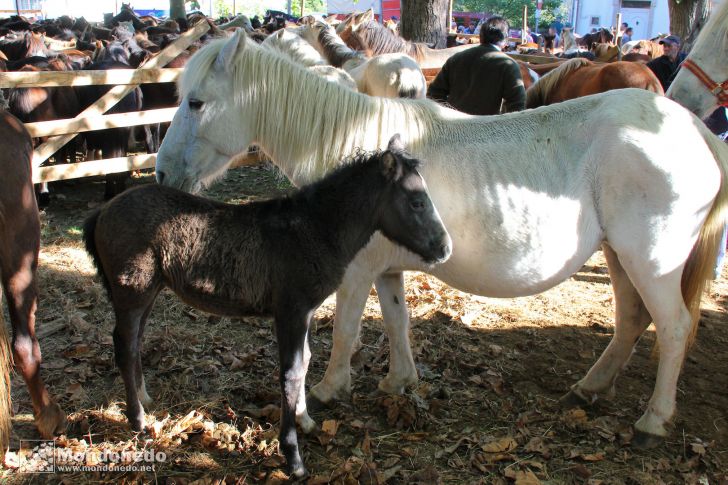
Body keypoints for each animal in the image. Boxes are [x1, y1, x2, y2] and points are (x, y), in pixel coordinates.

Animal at [84, 136, 450, 476]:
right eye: (417, 202)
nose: (445, 248)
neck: (314, 229)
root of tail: (103, 211)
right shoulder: (291, 310)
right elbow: (290, 373)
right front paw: (293, 456)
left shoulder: (306, 312)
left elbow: (305, 362)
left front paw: (305, 421)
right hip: (132, 292)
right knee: (125, 347)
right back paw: (138, 421)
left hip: (148, 292)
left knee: (135, 342)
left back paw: (145, 400)